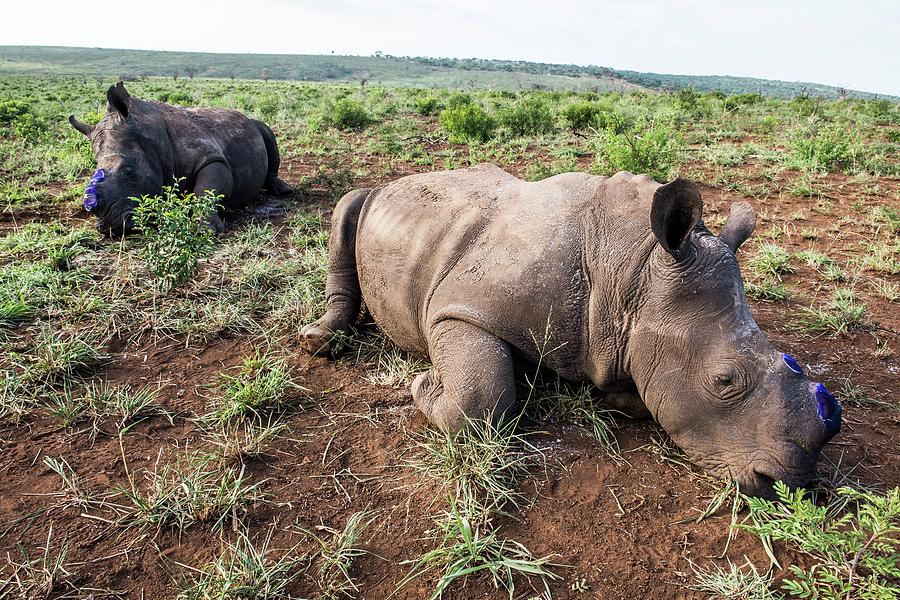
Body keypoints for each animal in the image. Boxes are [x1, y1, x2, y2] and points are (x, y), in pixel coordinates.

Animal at [69, 82, 290, 237]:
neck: (149, 136)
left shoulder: (212, 159)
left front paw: (205, 231)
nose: (108, 226)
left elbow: (206, 190)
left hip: (254, 125)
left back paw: (284, 190)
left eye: (130, 173)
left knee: (266, 131)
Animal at [302, 164, 844, 496]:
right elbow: (483, 400)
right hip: (374, 199)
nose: (790, 482)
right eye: (724, 380)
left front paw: (613, 398)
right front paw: (423, 384)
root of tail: (402, 179)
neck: (635, 271)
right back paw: (320, 342)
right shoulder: (460, 309)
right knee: (348, 206)